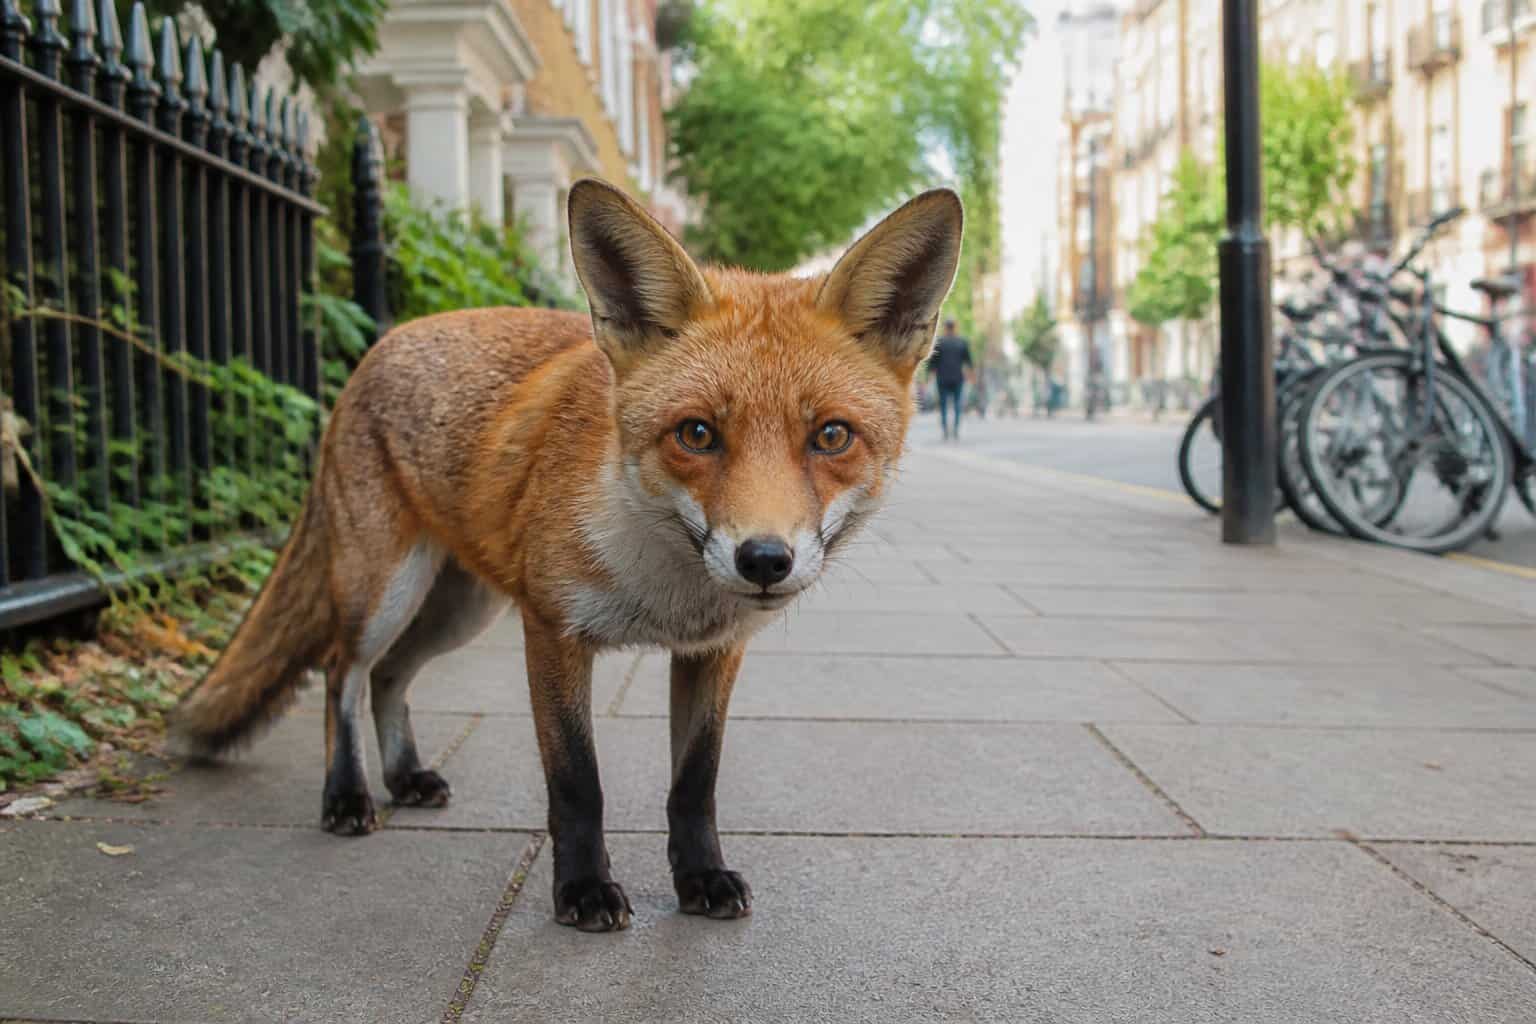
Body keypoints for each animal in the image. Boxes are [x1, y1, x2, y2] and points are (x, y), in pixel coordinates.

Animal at [171, 179, 962, 931]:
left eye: (831, 436)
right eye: (697, 434)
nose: (764, 560)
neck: (664, 586)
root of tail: (381, 344)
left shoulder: (713, 651)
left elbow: (695, 783)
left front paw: (700, 877)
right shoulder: (552, 631)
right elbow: (578, 783)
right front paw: (583, 890)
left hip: (459, 610)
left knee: (390, 676)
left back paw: (407, 778)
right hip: (384, 591)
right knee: (343, 672)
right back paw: (346, 795)